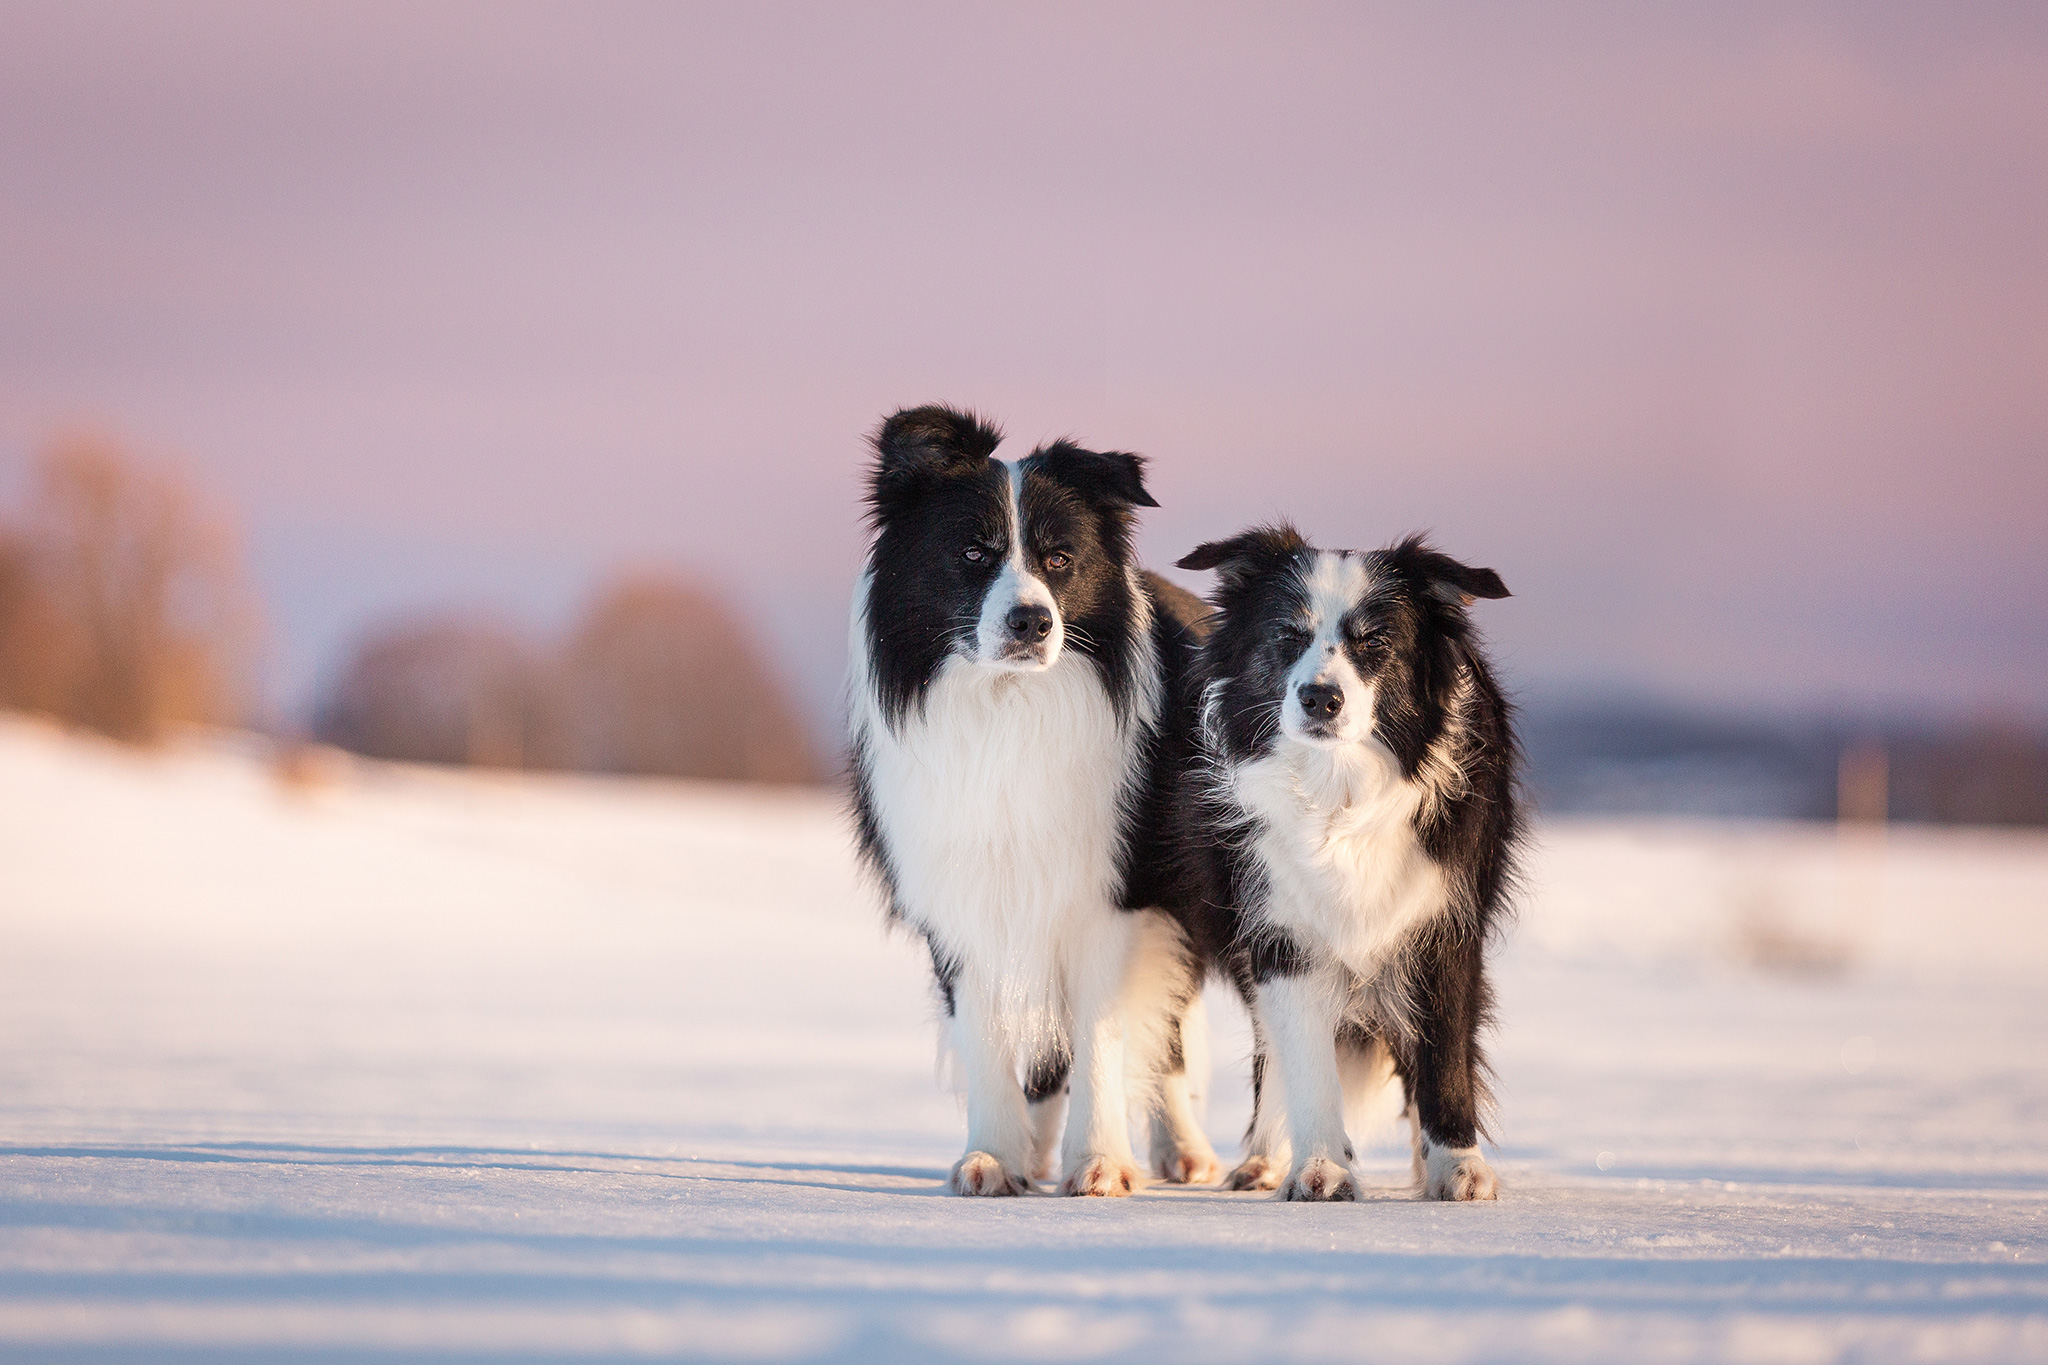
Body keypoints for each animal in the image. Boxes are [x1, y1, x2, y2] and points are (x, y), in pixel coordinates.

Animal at [843, 405, 1212, 1195]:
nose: (1033, 622)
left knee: (1169, 1028)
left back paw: (1191, 1150)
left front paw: (1100, 1163)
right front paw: (993, 1158)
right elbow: (988, 1035)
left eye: (1060, 559)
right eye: (974, 553)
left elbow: (1105, 1035)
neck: (1009, 707)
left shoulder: (1114, 894)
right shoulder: (967, 893)